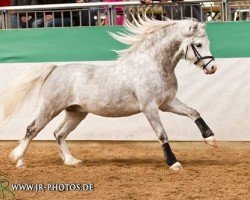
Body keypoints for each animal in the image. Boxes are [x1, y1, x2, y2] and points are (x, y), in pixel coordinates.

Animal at [0, 17, 217, 170]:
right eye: (198, 45)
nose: (212, 68)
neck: (154, 65)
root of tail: (56, 69)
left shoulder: (167, 102)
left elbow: (193, 112)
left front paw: (211, 139)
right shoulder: (150, 107)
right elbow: (161, 133)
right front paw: (173, 163)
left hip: (76, 112)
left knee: (59, 133)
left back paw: (71, 161)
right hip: (49, 108)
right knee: (32, 129)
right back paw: (19, 160)